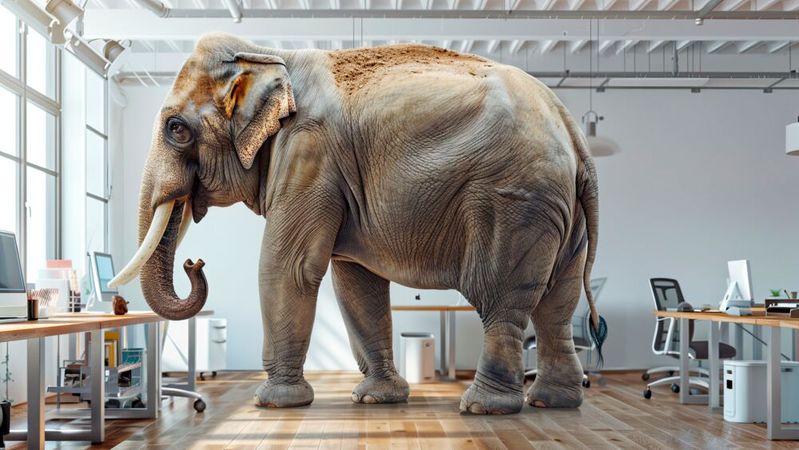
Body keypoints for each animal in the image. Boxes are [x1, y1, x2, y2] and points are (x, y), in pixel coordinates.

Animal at [110, 32, 601, 415]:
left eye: (176, 129)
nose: (195, 263)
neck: (267, 54)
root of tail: (574, 133)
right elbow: (354, 282)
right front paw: (376, 399)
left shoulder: (309, 152)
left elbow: (288, 267)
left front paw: (273, 402)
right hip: (562, 214)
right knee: (558, 304)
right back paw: (553, 402)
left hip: (514, 201)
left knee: (501, 298)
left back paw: (485, 407)